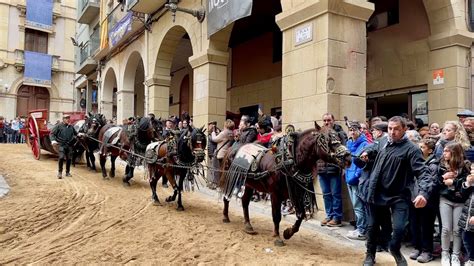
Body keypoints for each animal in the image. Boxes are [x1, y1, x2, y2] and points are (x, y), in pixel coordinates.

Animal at [220, 123, 350, 246]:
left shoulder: (298, 194)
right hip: (231, 178)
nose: (348, 157)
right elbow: (276, 215)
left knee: (245, 201)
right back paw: (225, 217)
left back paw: (248, 226)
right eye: (326, 139)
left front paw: (288, 232)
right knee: (226, 197)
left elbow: (301, 215)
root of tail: (233, 148)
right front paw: (277, 237)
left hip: (249, 184)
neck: (288, 161)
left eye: (338, 137)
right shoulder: (275, 194)